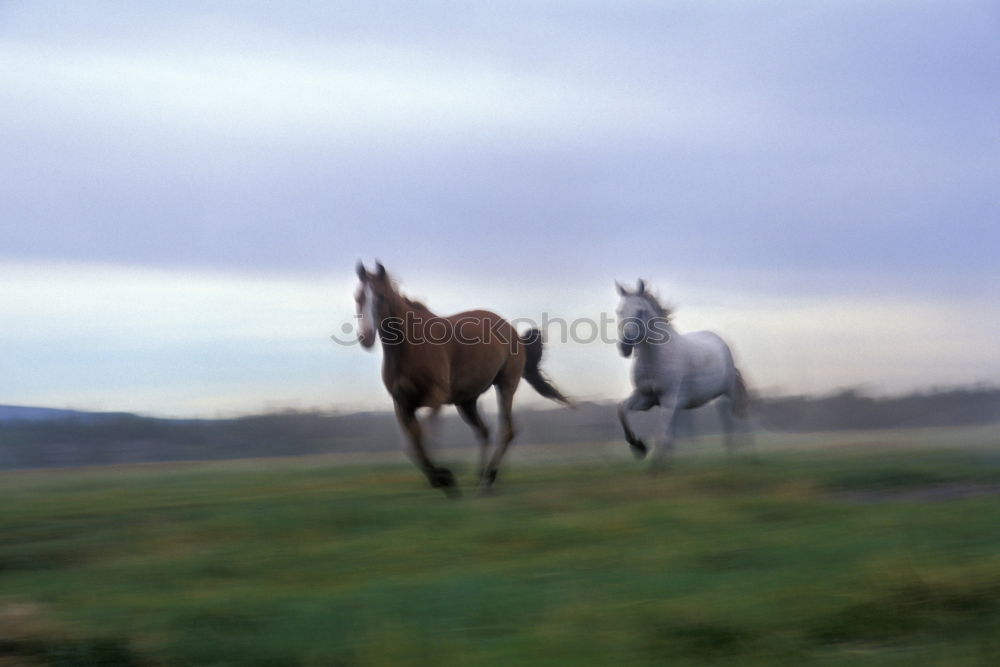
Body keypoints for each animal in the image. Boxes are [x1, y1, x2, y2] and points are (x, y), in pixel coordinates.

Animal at [356, 260, 568, 496]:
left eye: (381, 296)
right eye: (358, 297)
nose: (365, 337)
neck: (410, 347)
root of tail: (513, 332)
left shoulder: (435, 398)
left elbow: (426, 436)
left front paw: (445, 478)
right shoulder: (402, 405)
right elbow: (413, 445)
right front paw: (440, 478)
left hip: (505, 386)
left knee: (507, 430)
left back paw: (489, 479)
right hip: (466, 401)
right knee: (484, 431)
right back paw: (481, 477)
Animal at [616, 280, 752, 468]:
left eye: (640, 310)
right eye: (619, 311)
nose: (625, 346)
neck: (655, 359)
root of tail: (720, 341)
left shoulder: (669, 399)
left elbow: (662, 433)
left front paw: (654, 464)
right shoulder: (645, 398)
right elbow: (622, 410)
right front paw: (639, 447)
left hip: (728, 391)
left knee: (733, 416)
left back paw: (742, 453)